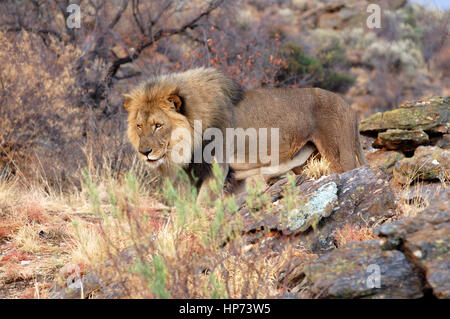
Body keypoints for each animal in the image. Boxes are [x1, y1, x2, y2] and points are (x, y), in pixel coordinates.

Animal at [123, 68, 366, 200]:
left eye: (157, 125)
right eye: (139, 126)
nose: (144, 152)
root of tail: (348, 106)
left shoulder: (216, 171)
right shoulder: (215, 177)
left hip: (339, 156)